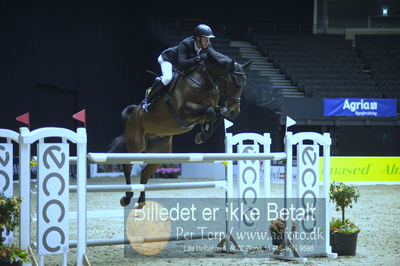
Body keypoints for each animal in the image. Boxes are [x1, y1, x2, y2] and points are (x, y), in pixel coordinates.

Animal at [108, 50, 253, 208]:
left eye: (244, 84)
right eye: (231, 82)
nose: (234, 111)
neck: (204, 83)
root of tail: (133, 113)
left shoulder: (210, 109)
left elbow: (217, 114)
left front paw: (204, 133)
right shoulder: (184, 110)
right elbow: (210, 112)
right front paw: (203, 133)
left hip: (160, 151)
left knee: (145, 172)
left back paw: (141, 201)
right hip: (137, 144)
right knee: (127, 166)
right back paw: (126, 198)